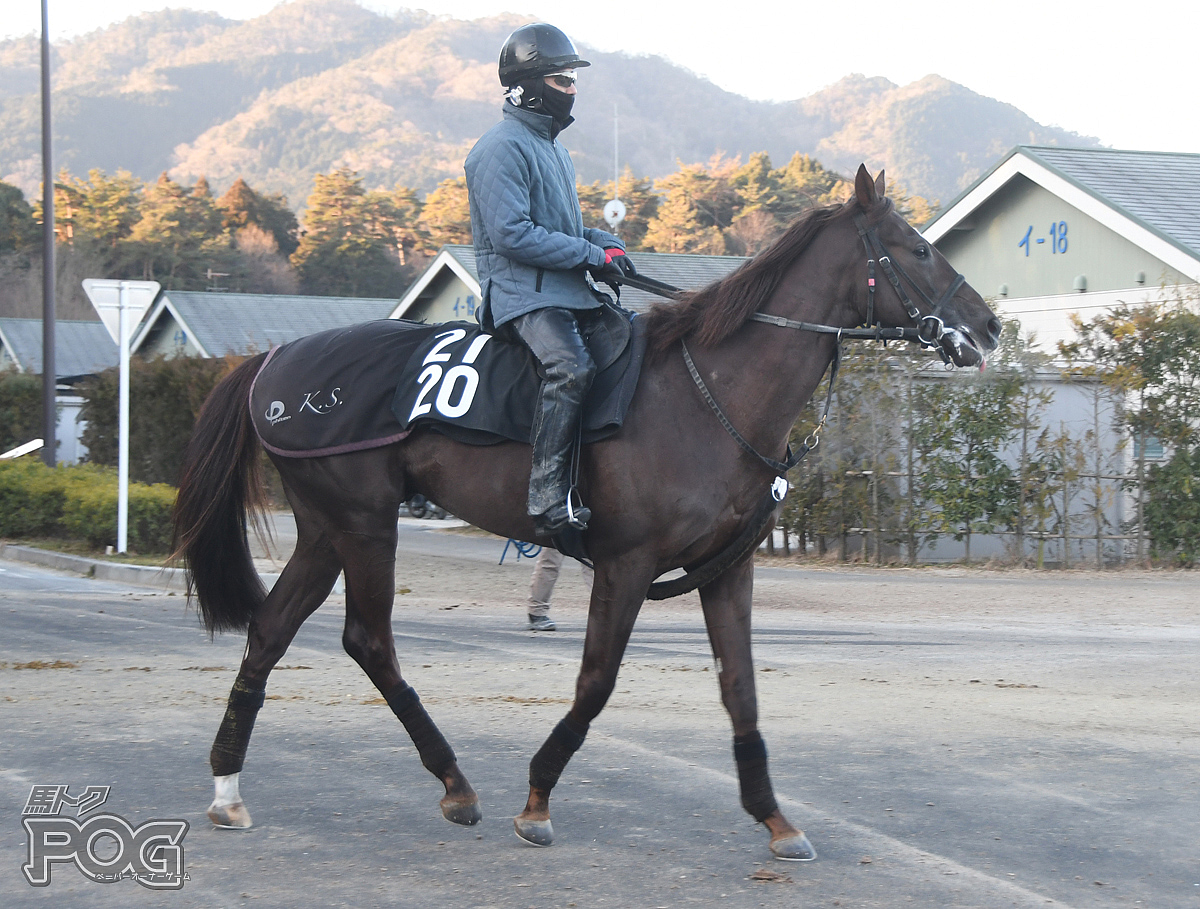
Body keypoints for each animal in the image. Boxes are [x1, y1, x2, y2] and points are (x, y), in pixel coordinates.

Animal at [171, 167, 1003, 863]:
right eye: (920, 247)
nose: (990, 325)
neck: (706, 395)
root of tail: (274, 361)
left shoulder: (727, 569)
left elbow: (741, 687)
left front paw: (774, 816)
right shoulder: (627, 563)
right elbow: (597, 680)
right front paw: (537, 799)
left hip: (324, 530)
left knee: (270, 632)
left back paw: (227, 790)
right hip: (367, 522)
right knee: (368, 639)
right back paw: (455, 783)